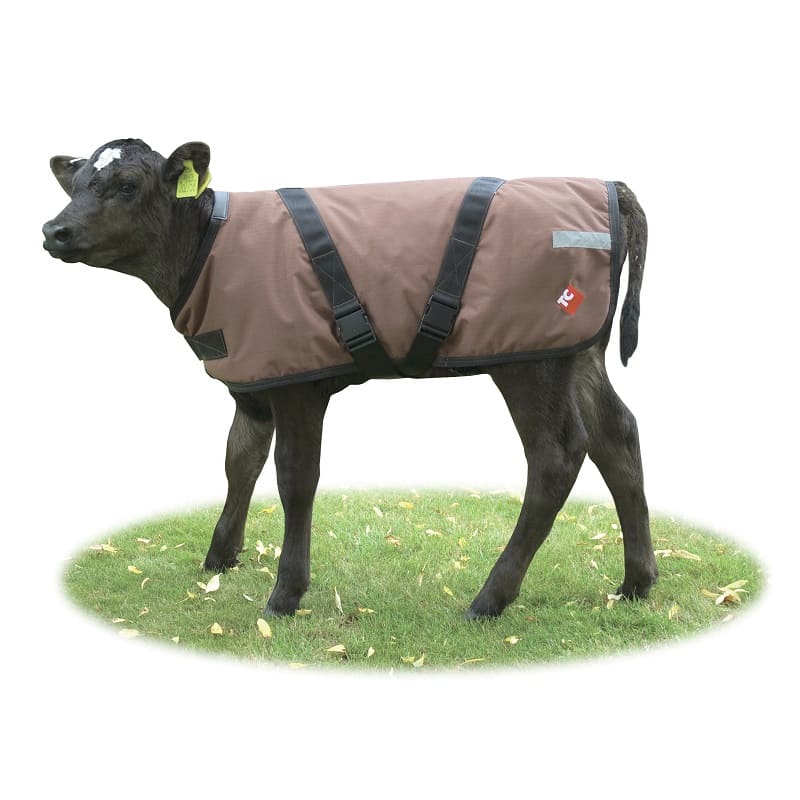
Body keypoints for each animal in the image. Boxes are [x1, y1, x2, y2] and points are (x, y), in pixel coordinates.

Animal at [42, 138, 658, 619]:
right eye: (76, 181)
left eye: (126, 184)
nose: (54, 229)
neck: (205, 251)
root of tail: (606, 185)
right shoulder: (251, 380)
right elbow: (239, 459)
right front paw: (221, 557)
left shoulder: (296, 381)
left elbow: (295, 477)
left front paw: (285, 594)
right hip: (578, 353)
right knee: (618, 435)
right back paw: (637, 582)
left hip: (531, 359)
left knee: (557, 457)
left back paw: (489, 599)